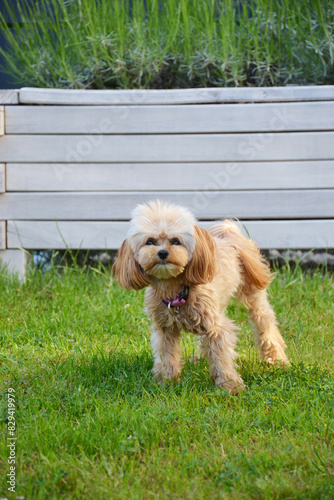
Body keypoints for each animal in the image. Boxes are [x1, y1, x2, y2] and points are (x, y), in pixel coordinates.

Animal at [114, 200, 288, 394]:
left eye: (176, 241)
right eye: (149, 241)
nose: (162, 253)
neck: (176, 291)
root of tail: (228, 235)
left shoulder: (217, 328)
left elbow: (222, 358)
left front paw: (230, 387)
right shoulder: (164, 329)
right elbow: (167, 356)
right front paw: (167, 382)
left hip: (253, 294)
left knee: (265, 324)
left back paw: (276, 360)